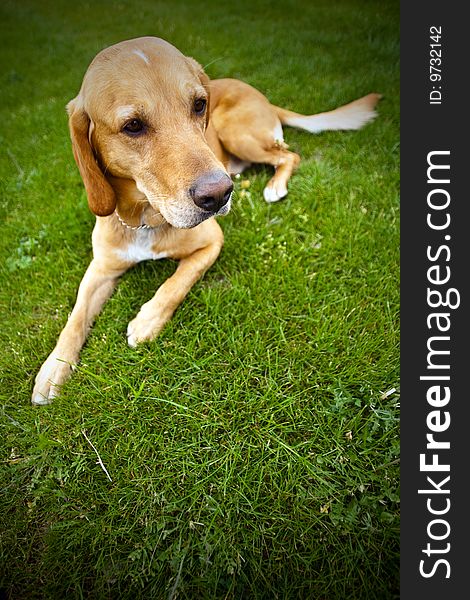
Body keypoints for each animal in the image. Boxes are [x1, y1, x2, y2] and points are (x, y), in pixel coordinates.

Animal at [31, 36, 380, 404]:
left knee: (289, 155)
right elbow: (75, 317)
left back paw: (274, 186)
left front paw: (147, 319)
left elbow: (176, 283)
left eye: (199, 105)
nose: (219, 194)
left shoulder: (211, 242)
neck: (144, 219)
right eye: (133, 126)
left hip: (237, 133)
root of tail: (260, 95)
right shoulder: (100, 268)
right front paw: (54, 368)